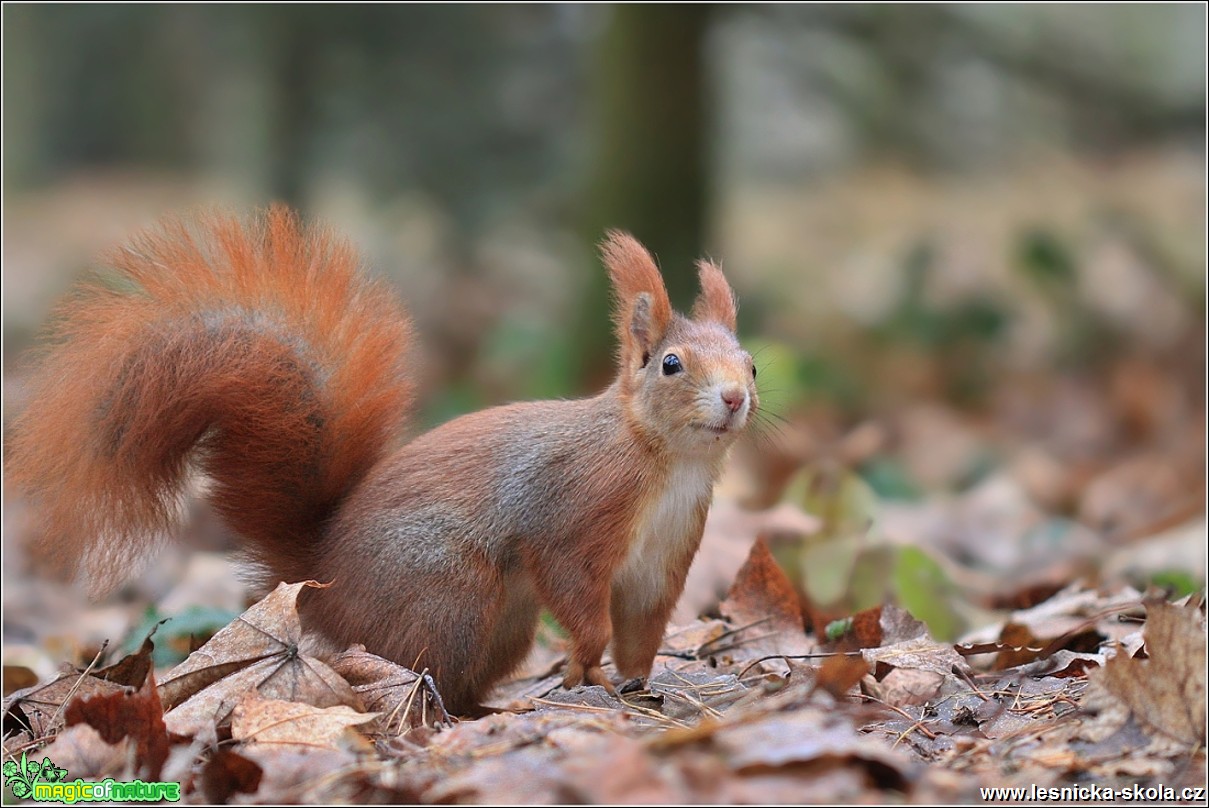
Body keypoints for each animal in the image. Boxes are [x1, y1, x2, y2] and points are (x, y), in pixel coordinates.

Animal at [7, 206, 754, 711]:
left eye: (748, 361)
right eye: (670, 364)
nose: (736, 397)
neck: (667, 462)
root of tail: (322, 580)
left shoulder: (664, 558)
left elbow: (644, 626)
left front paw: (636, 682)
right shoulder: (576, 511)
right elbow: (576, 591)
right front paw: (588, 669)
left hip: (500, 622)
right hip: (450, 592)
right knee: (420, 664)